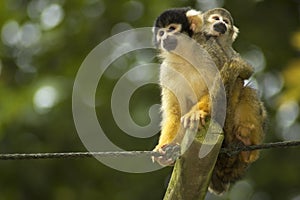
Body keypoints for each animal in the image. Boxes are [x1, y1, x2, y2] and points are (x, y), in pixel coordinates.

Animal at [154, 7, 266, 194]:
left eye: (171, 29)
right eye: (161, 32)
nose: (164, 38)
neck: (185, 54)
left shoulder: (209, 50)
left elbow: (220, 83)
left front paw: (196, 113)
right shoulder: (167, 70)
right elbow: (174, 111)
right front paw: (164, 149)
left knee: (244, 90)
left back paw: (247, 144)